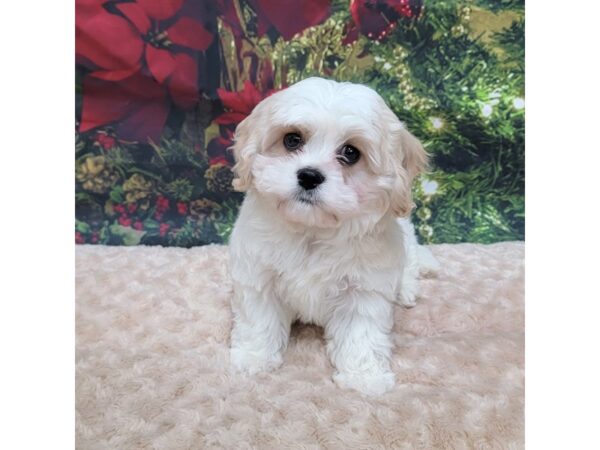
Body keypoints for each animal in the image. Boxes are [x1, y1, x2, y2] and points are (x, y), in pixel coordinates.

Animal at [227, 79, 438, 396]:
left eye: (351, 153)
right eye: (292, 140)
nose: (309, 176)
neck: (313, 230)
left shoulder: (364, 291)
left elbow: (360, 334)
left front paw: (364, 377)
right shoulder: (259, 275)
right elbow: (258, 319)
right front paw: (254, 358)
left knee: (410, 265)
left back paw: (406, 290)